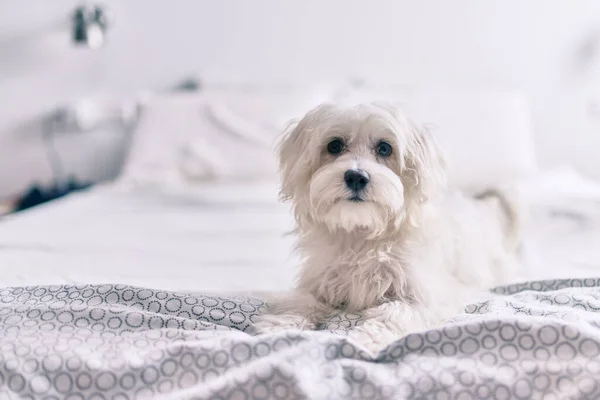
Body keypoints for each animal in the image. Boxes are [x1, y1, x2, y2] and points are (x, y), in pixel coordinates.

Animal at [254, 101, 520, 352]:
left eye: (384, 148)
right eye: (334, 146)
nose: (356, 177)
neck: (363, 232)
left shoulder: (426, 294)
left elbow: (394, 313)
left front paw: (364, 339)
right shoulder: (318, 280)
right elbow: (299, 301)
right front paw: (279, 327)